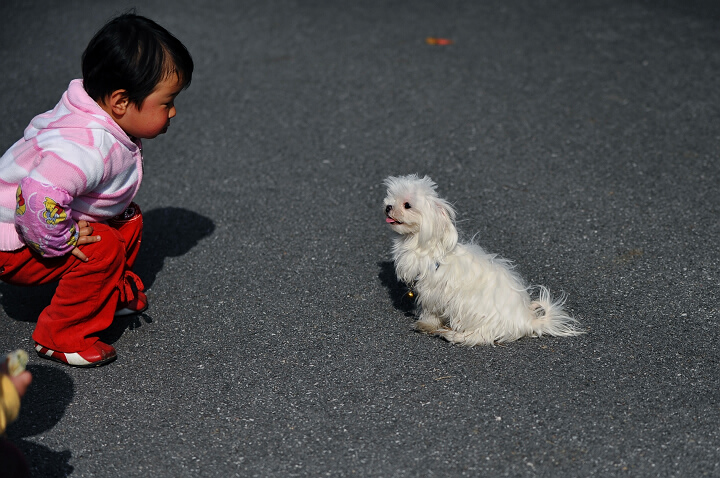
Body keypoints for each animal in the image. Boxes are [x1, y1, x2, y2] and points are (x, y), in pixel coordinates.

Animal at [386, 174, 584, 346]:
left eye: (407, 205)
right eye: (391, 198)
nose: (388, 207)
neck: (421, 242)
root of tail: (525, 321)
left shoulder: (431, 292)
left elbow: (430, 312)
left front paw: (426, 325)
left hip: (468, 307)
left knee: (481, 335)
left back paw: (453, 335)